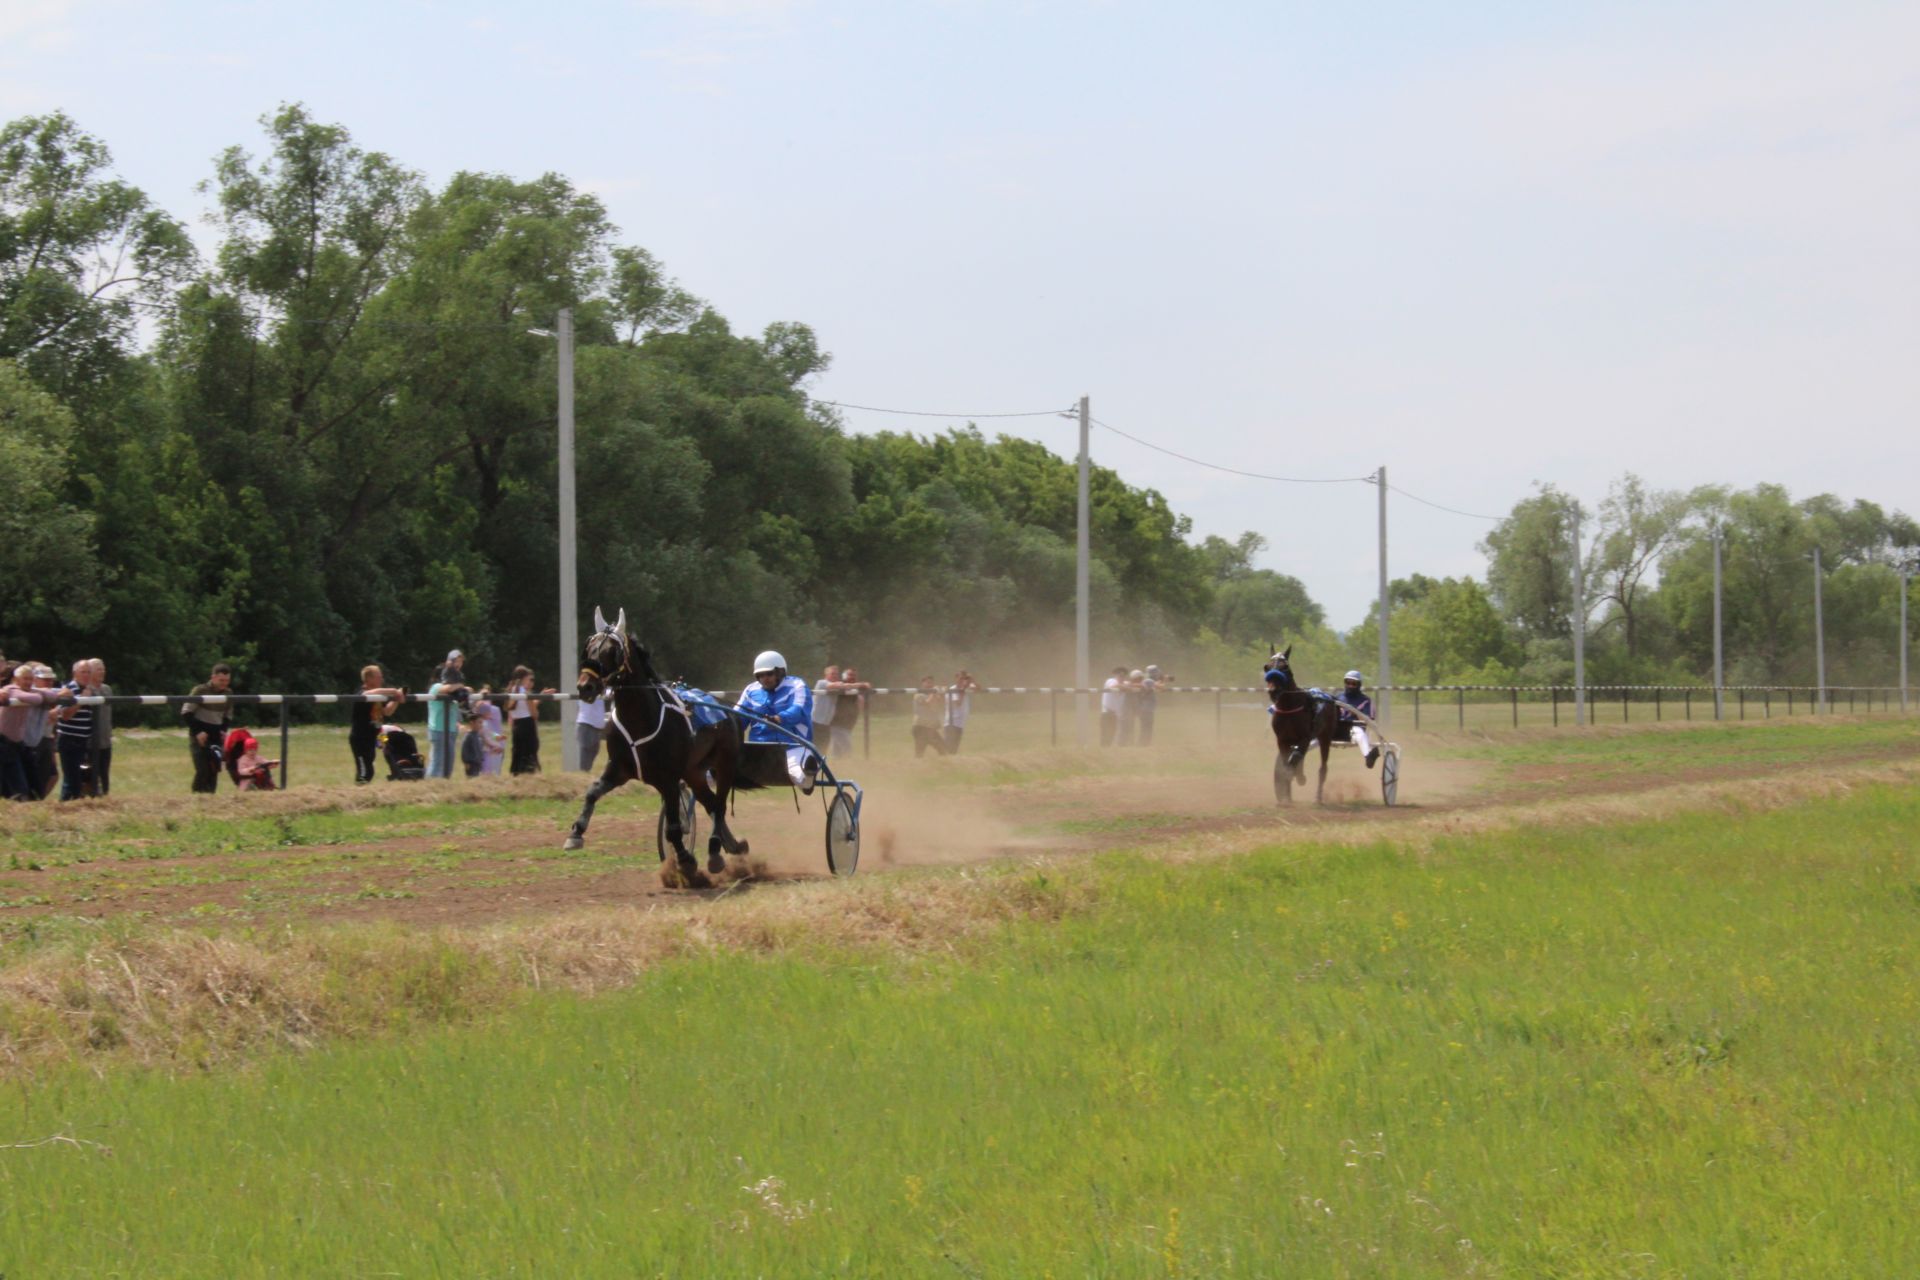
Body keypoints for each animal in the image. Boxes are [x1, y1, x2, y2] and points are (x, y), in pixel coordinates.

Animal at [560, 606, 748, 886]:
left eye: (612, 652)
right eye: (589, 648)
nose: (586, 686)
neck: (641, 718)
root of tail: (728, 710)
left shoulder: (668, 779)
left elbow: (673, 828)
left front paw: (685, 860)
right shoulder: (619, 768)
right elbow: (592, 792)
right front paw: (576, 833)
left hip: (724, 764)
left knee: (719, 805)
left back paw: (716, 850)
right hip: (693, 772)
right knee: (710, 803)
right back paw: (728, 847)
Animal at [1267, 644, 1344, 805]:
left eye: (1285, 667)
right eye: (1267, 667)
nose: (1273, 691)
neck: (1289, 708)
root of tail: (1329, 698)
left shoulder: (1305, 738)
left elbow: (1295, 759)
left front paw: (1300, 778)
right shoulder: (1282, 740)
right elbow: (1286, 765)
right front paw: (1286, 798)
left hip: (1325, 738)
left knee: (1322, 768)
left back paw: (1318, 798)